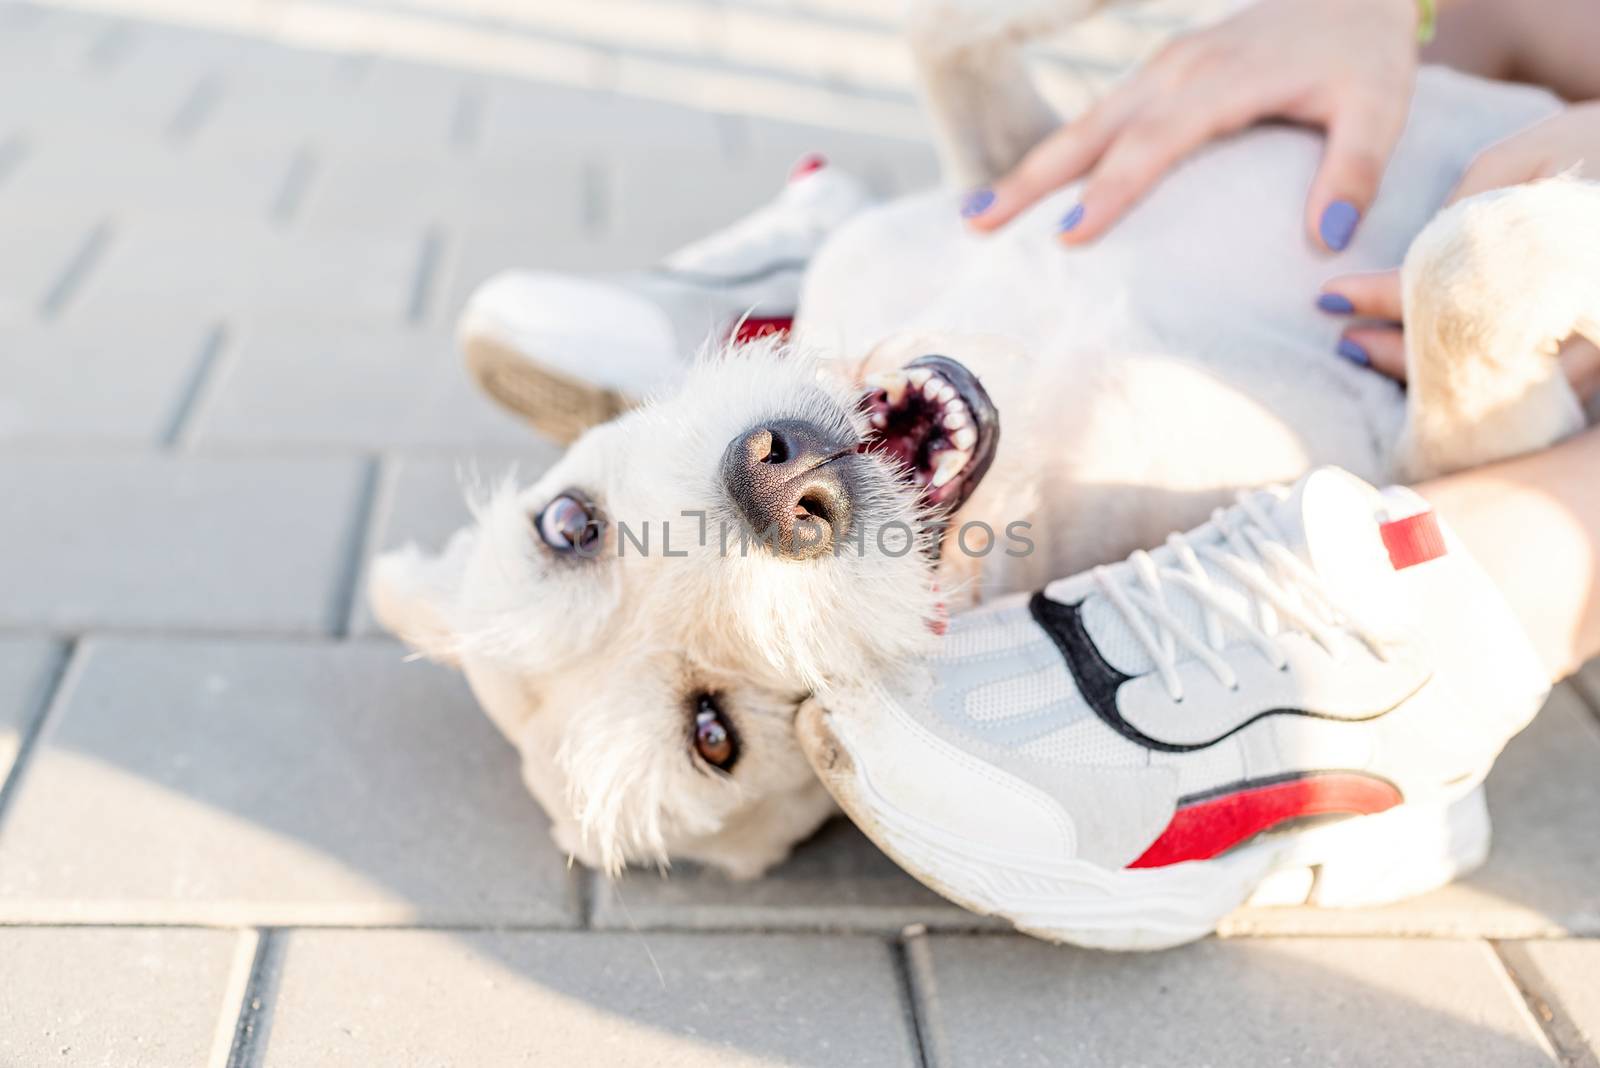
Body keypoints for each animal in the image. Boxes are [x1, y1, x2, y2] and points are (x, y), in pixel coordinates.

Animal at [368, 0, 1593, 882]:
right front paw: (1561, 217)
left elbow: (941, 31)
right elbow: (1461, 269)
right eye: (713, 735)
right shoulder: (1442, 446)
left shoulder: (1019, 163)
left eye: (566, 525)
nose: (781, 489)